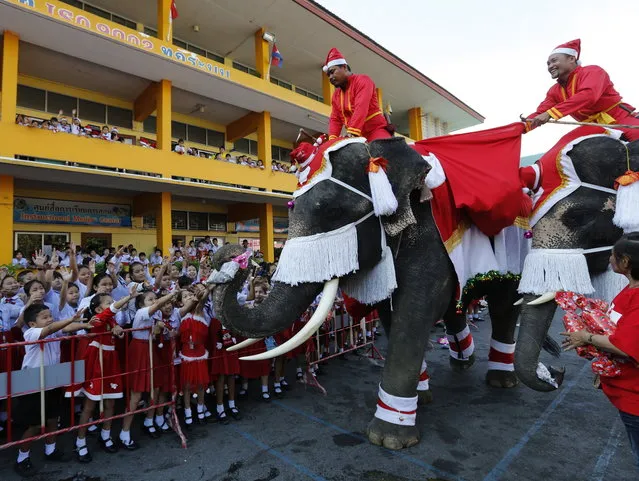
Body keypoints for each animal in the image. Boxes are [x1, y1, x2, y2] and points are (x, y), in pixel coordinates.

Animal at [210, 136, 524, 450]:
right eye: (289, 207)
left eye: (332, 212)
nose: (240, 257)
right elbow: (390, 312)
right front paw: (420, 398)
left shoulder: (428, 238)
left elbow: (413, 312)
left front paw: (389, 438)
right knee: (456, 304)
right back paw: (463, 362)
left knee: (503, 305)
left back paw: (501, 380)